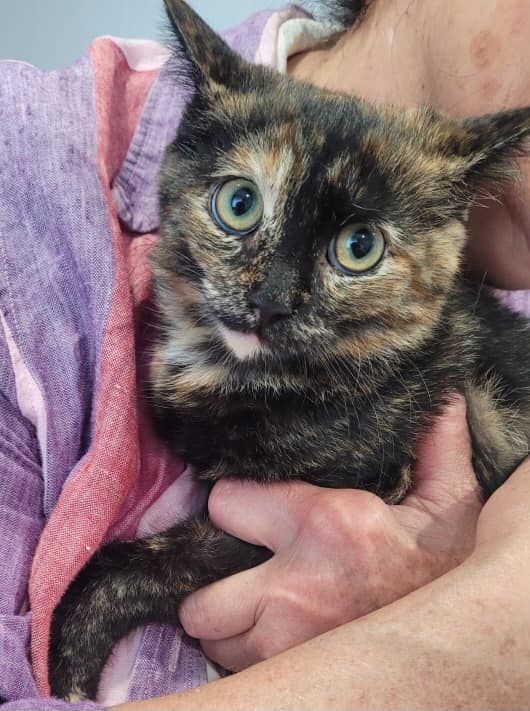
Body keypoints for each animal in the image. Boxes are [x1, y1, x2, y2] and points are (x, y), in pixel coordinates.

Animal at [49, 0, 530, 701]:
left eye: (359, 247)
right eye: (239, 204)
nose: (271, 300)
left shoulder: (357, 492)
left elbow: (152, 561)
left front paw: (69, 657)